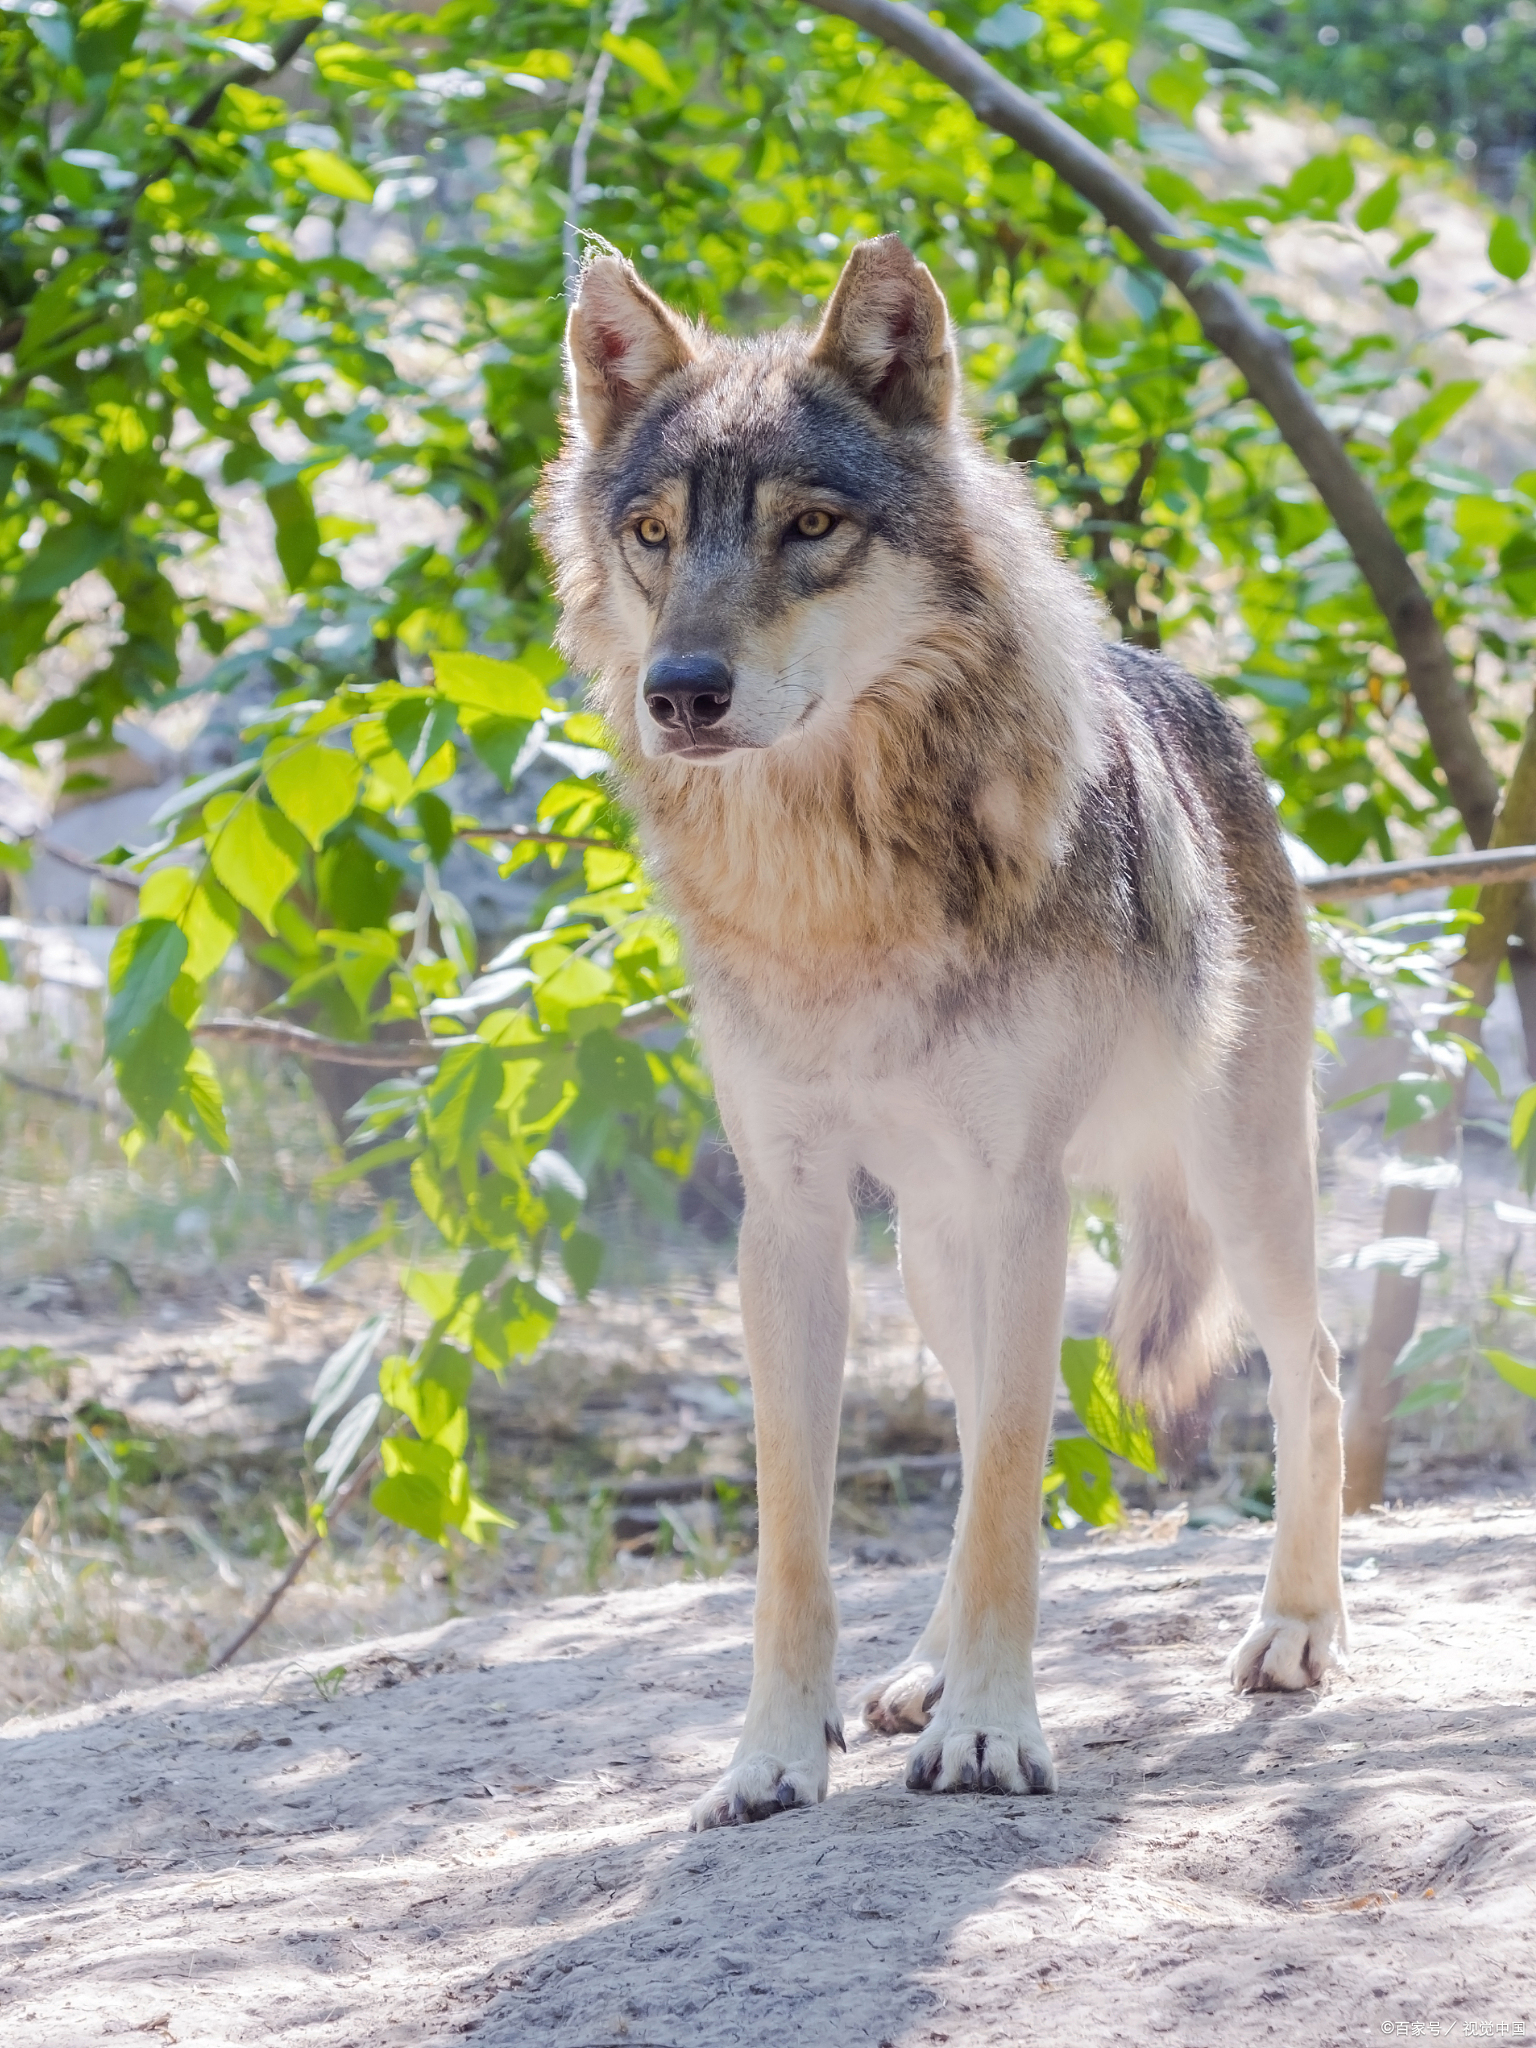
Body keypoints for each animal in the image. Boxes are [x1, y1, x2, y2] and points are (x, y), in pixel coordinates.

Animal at [536, 232, 1343, 1835]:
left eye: (811, 526)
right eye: (654, 532)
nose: (681, 694)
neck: (838, 894)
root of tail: (1184, 681)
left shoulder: (1027, 1197)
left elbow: (1017, 1497)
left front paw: (991, 1731)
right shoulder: (787, 1218)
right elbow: (803, 1533)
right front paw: (773, 1756)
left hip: (1233, 1192)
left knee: (1314, 1372)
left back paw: (1294, 1628)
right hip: (927, 1251)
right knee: (972, 1454)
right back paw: (915, 1672)